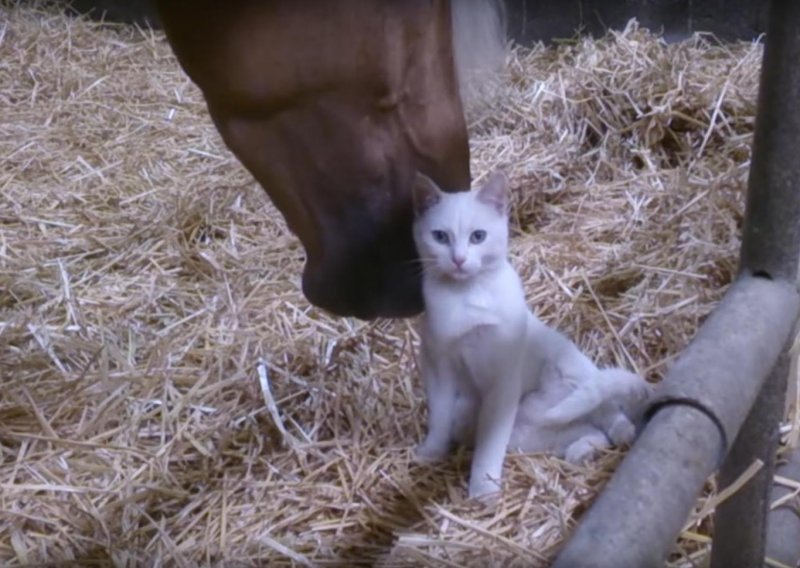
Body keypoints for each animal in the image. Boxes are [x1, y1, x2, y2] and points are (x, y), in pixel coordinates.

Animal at [412, 171, 648, 500]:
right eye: (440, 237)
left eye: (478, 236)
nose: (458, 259)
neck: (468, 296)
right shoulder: (438, 365)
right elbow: (440, 417)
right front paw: (432, 452)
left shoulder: (503, 379)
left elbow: (490, 444)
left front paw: (483, 489)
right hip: (529, 433)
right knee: (591, 430)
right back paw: (583, 451)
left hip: (572, 373)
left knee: (609, 410)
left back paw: (619, 432)